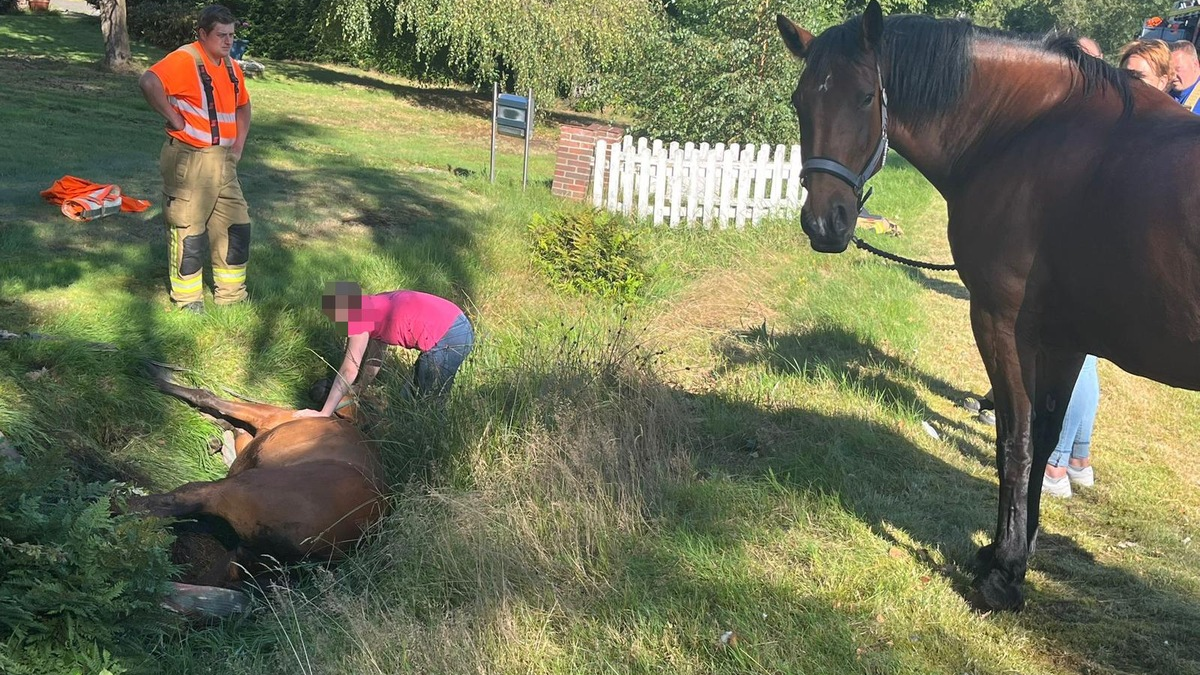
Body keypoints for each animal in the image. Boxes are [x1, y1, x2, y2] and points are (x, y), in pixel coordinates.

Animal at [127, 366, 387, 614]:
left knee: (171, 503)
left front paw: (156, 378)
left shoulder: (266, 416)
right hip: (242, 557)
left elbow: (208, 397)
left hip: (234, 489)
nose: (320, 383)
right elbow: (229, 423)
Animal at [777, 1, 1200, 610]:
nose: (823, 223)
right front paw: (1011, 551)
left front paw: (1002, 571)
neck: (1028, 133)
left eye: (863, 97)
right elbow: (1043, 436)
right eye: (799, 100)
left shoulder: (1002, 324)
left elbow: (1013, 442)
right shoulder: (1062, 340)